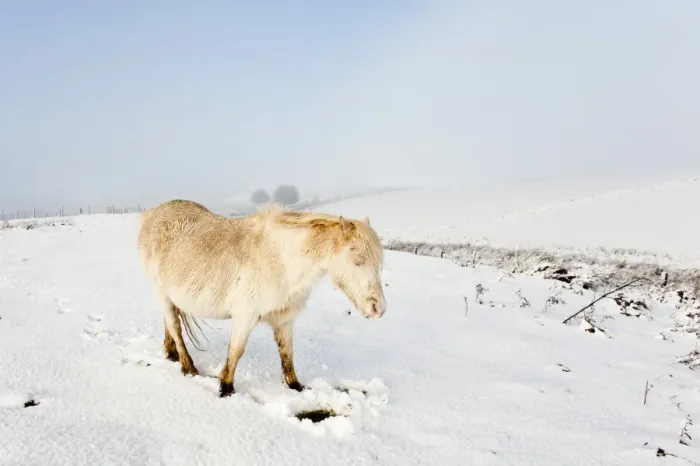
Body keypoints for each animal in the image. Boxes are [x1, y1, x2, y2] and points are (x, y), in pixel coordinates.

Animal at [137, 199, 386, 397]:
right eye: (358, 260)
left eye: (379, 262)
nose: (378, 308)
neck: (282, 261)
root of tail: (151, 214)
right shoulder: (244, 317)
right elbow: (236, 352)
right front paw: (226, 388)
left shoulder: (284, 320)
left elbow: (287, 355)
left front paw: (295, 387)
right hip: (161, 292)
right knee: (175, 327)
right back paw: (188, 368)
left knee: (171, 325)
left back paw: (171, 354)